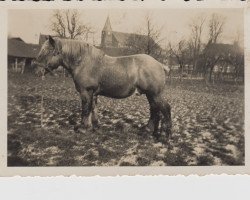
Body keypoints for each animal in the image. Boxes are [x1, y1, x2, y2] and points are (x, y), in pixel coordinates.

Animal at [35, 36, 172, 139]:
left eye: (48, 51)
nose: (37, 70)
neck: (84, 62)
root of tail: (160, 64)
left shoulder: (86, 92)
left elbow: (85, 109)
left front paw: (82, 128)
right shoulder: (93, 93)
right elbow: (93, 108)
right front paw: (95, 126)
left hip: (155, 94)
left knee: (165, 109)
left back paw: (166, 135)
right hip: (150, 95)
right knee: (155, 110)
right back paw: (149, 131)